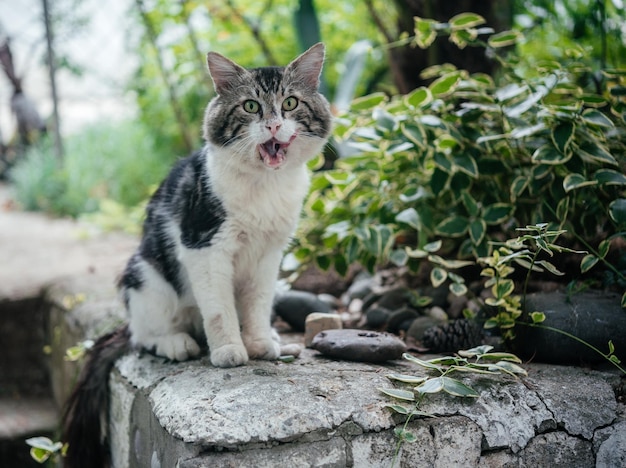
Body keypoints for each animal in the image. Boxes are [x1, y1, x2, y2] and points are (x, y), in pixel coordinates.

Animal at [64, 44, 334, 468]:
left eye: (290, 103)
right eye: (251, 106)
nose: (274, 126)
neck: (265, 185)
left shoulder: (270, 254)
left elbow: (257, 304)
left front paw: (259, 343)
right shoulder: (204, 246)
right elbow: (220, 310)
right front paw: (229, 351)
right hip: (146, 277)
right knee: (144, 336)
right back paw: (179, 343)